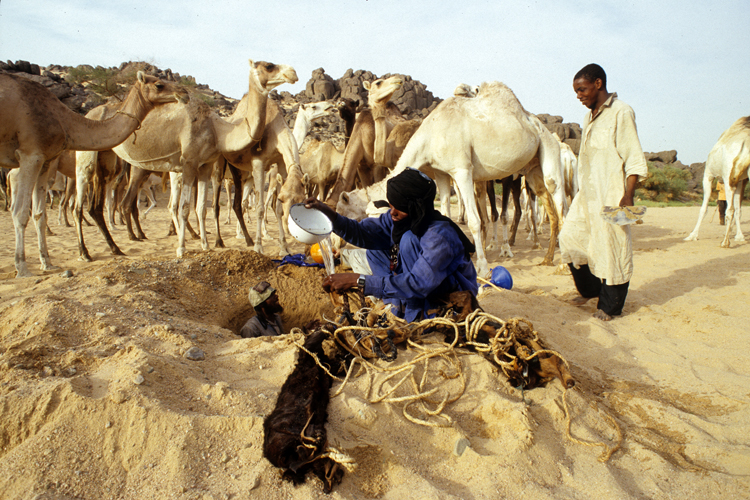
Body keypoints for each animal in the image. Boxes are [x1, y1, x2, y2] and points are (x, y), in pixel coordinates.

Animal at [0, 70, 188, 278]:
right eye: (159, 85)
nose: (184, 92)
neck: (63, 120)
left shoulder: (45, 160)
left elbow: (39, 213)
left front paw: (47, 263)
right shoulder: (31, 155)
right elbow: (21, 212)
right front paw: (22, 267)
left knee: (93, 206)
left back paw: (115, 244)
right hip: (82, 170)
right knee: (79, 206)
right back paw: (88, 250)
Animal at [114, 59, 296, 258]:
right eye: (269, 66)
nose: (293, 73)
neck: (216, 129)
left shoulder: (206, 165)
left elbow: (201, 207)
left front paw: (205, 245)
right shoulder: (191, 162)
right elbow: (186, 207)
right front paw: (182, 249)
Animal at [338, 81, 568, 278]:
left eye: (373, 215)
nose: (337, 247)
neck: (430, 134)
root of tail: (539, 125)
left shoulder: (462, 170)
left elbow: (474, 221)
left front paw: (483, 269)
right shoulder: (441, 174)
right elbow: (445, 213)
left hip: (548, 151)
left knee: (559, 201)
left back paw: (563, 263)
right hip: (532, 169)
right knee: (549, 204)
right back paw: (547, 258)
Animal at [688, 114, 750, 246]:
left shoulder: (708, 175)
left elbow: (704, 209)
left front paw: (692, 235)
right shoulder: (741, 180)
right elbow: (739, 210)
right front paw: (739, 237)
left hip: (727, 178)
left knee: (729, 209)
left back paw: (725, 242)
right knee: (734, 209)